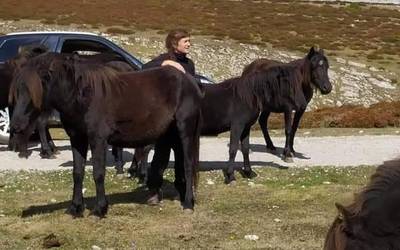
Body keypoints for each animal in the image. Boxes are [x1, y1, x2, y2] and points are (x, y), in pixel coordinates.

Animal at [8, 54, 203, 217]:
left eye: (34, 92)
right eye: (18, 91)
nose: (15, 127)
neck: (83, 97)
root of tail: (190, 81)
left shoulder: (98, 140)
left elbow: (98, 173)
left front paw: (100, 209)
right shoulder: (77, 139)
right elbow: (77, 173)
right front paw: (75, 208)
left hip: (185, 131)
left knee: (187, 165)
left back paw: (188, 204)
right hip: (173, 134)